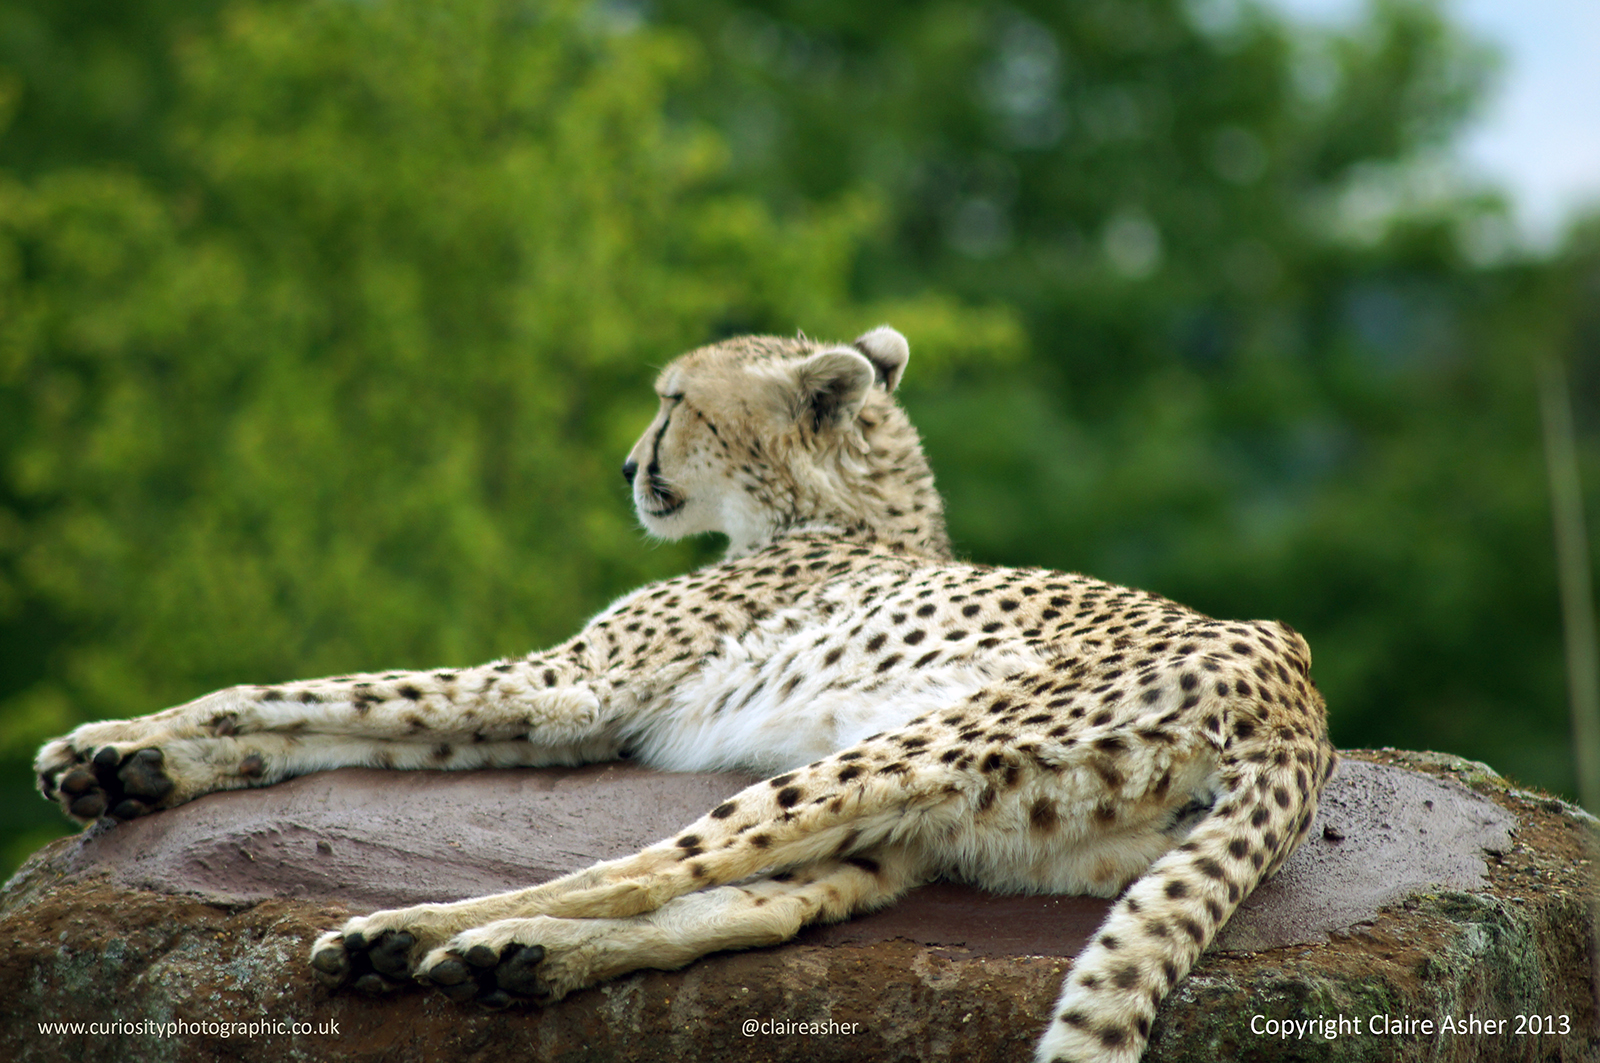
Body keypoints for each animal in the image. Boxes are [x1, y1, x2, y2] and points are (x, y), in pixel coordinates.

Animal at [37, 328, 1337, 1056]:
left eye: (672, 401)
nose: (625, 466)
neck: (846, 513)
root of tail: (1297, 697)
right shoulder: (560, 704)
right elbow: (325, 719)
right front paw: (131, 766)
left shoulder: (566, 687)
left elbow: (305, 691)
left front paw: (106, 743)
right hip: (932, 825)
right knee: (757, 909)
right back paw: (517, 960)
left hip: (894, 754)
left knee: (642, 868)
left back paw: (416, 933)